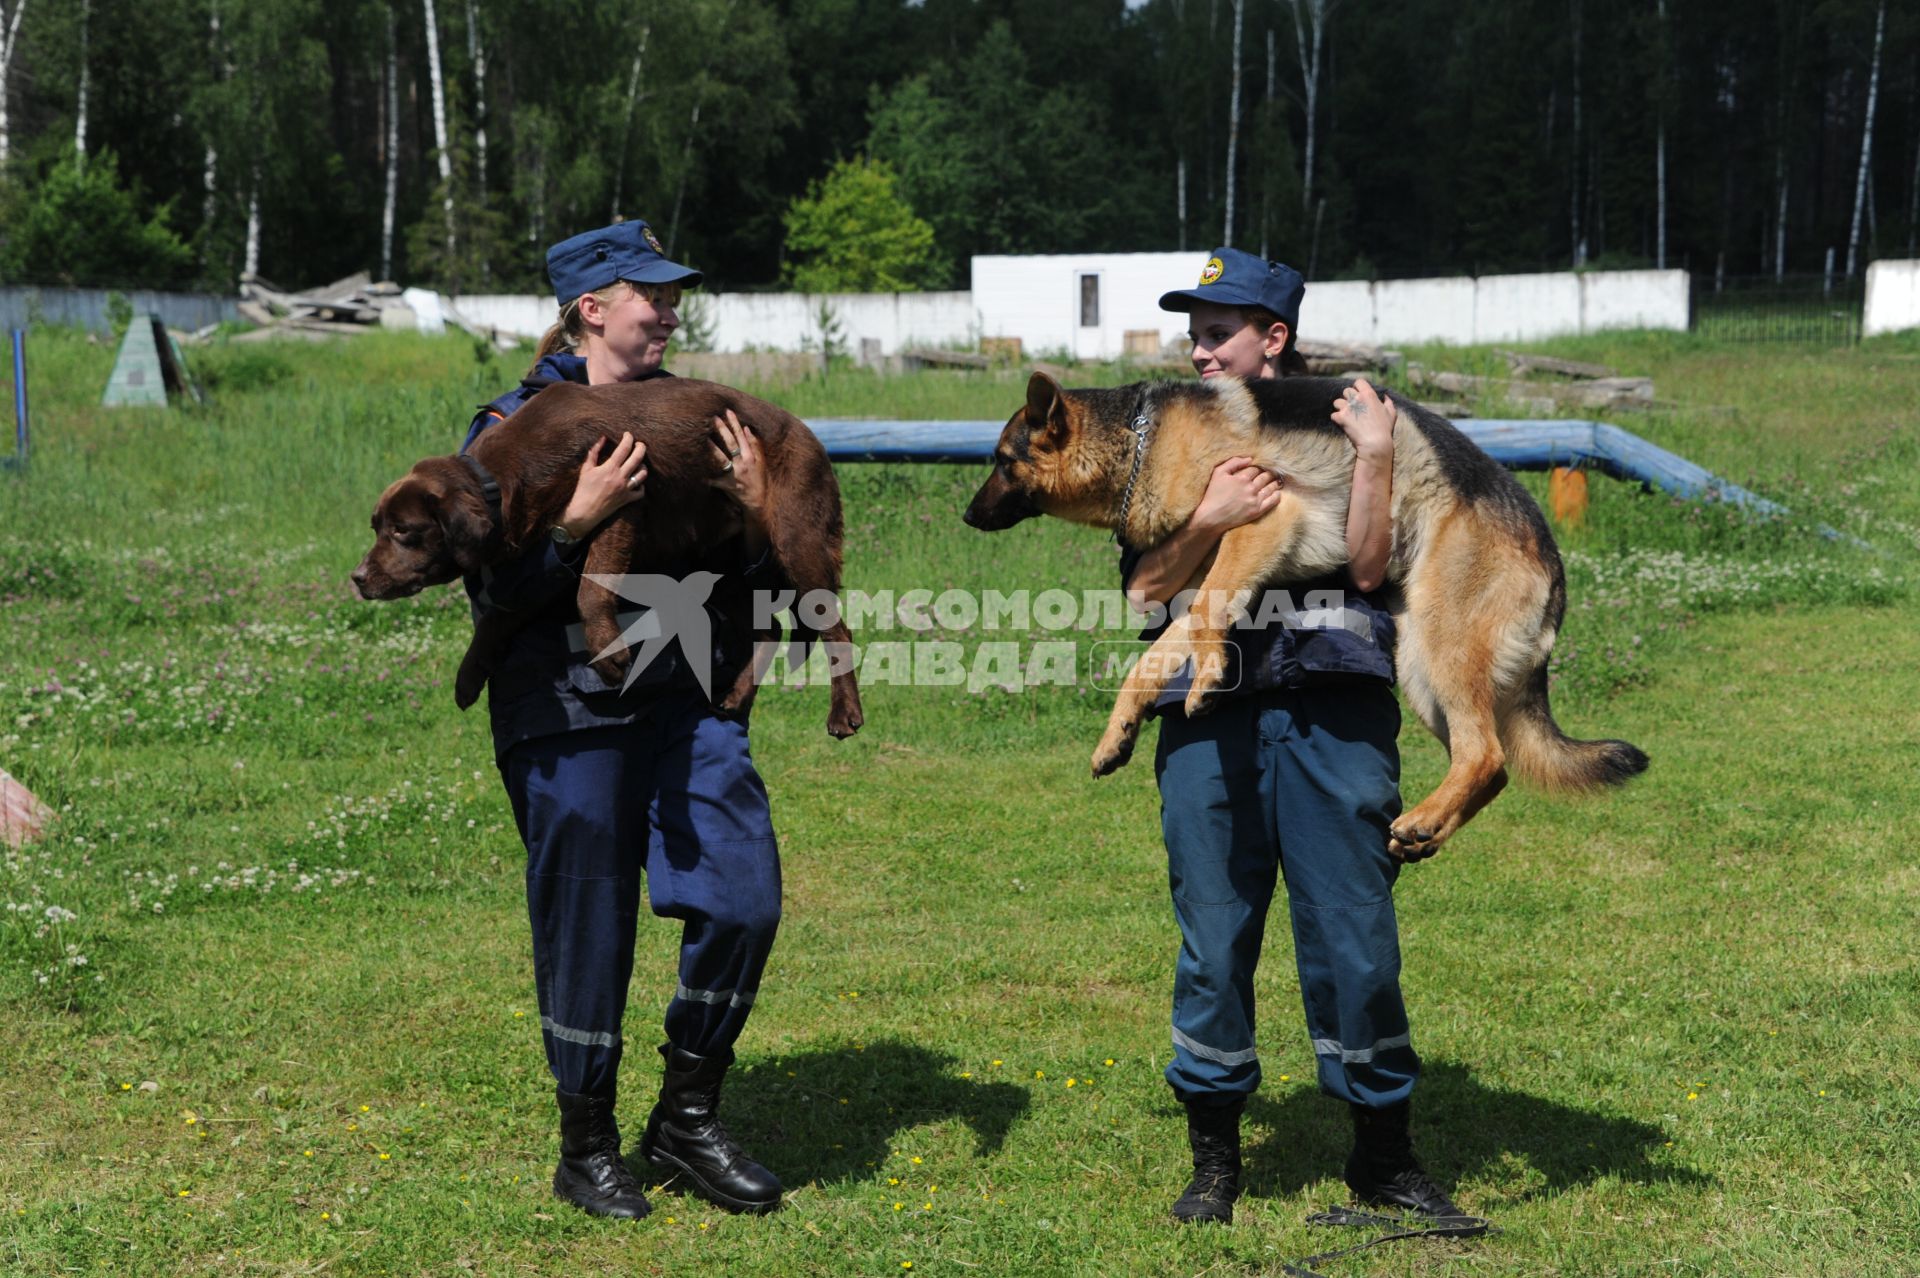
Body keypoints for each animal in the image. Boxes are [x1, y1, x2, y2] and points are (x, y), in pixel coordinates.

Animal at [351, 376, 864, 736]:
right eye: (376, 526)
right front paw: (469, 674)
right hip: (718, 560)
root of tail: (810, 434)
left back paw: (844, 713)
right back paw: (736, 696)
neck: (503, 480)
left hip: (797, 538)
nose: (357, 577)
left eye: (402, 531)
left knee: (835, 628)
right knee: (769, 627)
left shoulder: (622, 502)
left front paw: (608, 652)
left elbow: (590, 587)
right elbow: (499, 613)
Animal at [967, 374, 1643, 859]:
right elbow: (1152, 662)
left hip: (1443, 646)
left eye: (1002, 461)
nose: (968, 518)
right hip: (1423, 671)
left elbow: (1208, 619)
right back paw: (1425, 830)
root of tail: (1552, 560)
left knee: (1486, 755)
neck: (1140, 442)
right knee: (1490, 766)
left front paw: (1207, 681)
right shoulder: (1207, 581)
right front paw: (1118, 734)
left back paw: (1423, 819)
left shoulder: (1265, 518)